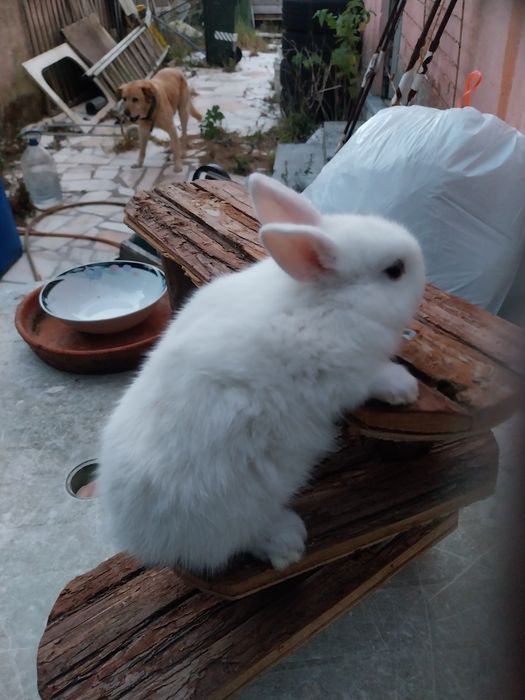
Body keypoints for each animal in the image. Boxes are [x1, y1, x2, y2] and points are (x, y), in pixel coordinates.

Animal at [97, 173, 425, 575]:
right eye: (395, 270)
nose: (423, 263)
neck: (329, 302)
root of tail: (140, 538)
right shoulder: (346, 373)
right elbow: (373, 379)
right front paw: (405, 388)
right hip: (239, 506)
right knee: (240, 539)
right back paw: (288, 542)